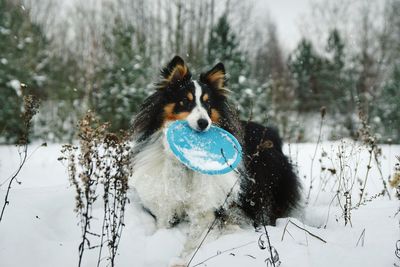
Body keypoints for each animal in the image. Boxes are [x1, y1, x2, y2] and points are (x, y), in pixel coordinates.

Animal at [129, 55, 300, 264]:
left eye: (208, 104)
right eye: (185, 102)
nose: (204, 123)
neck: (186, 167)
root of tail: (272, 134)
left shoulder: (207, 207)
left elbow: (196, 239)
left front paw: (184, 259)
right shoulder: (166, 201)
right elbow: (164, 223)